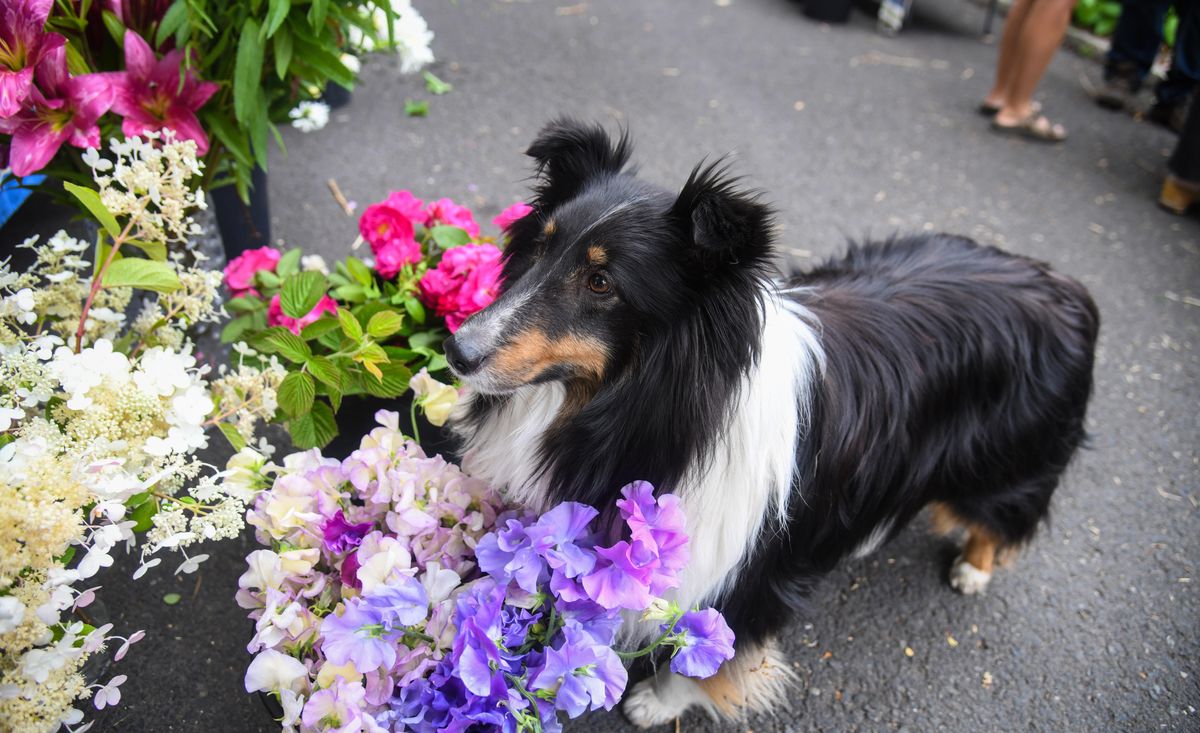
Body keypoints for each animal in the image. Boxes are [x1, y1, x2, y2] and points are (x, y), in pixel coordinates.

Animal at [441, 120, 1099, 729]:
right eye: (540, 249)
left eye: (601, 282)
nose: (455, 350)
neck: (657, 408)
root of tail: (1063, 283)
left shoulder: (748, 576)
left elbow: (710, 649)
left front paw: (657, 702)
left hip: (1010, 460)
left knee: (1002, 512)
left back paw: (972, 568)